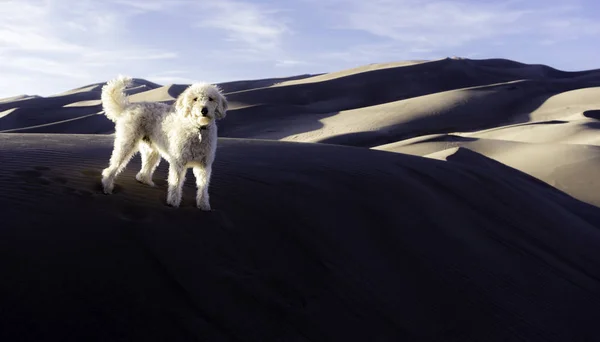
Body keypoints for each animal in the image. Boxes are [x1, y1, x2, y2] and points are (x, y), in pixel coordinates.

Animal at [101, 75, 227, 210]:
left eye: (211, 98)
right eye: (195, 99)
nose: (204, 110)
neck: (198, 130)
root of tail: (128, 107)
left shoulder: (204, 165)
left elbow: (203, 186)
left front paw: (203, 204)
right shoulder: (178, 162)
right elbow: (175, 182)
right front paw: (173, 202)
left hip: (152, 151)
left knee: (142, 172)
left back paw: (146, 181)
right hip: (127, 143)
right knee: (113, 166)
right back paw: (107, 186)